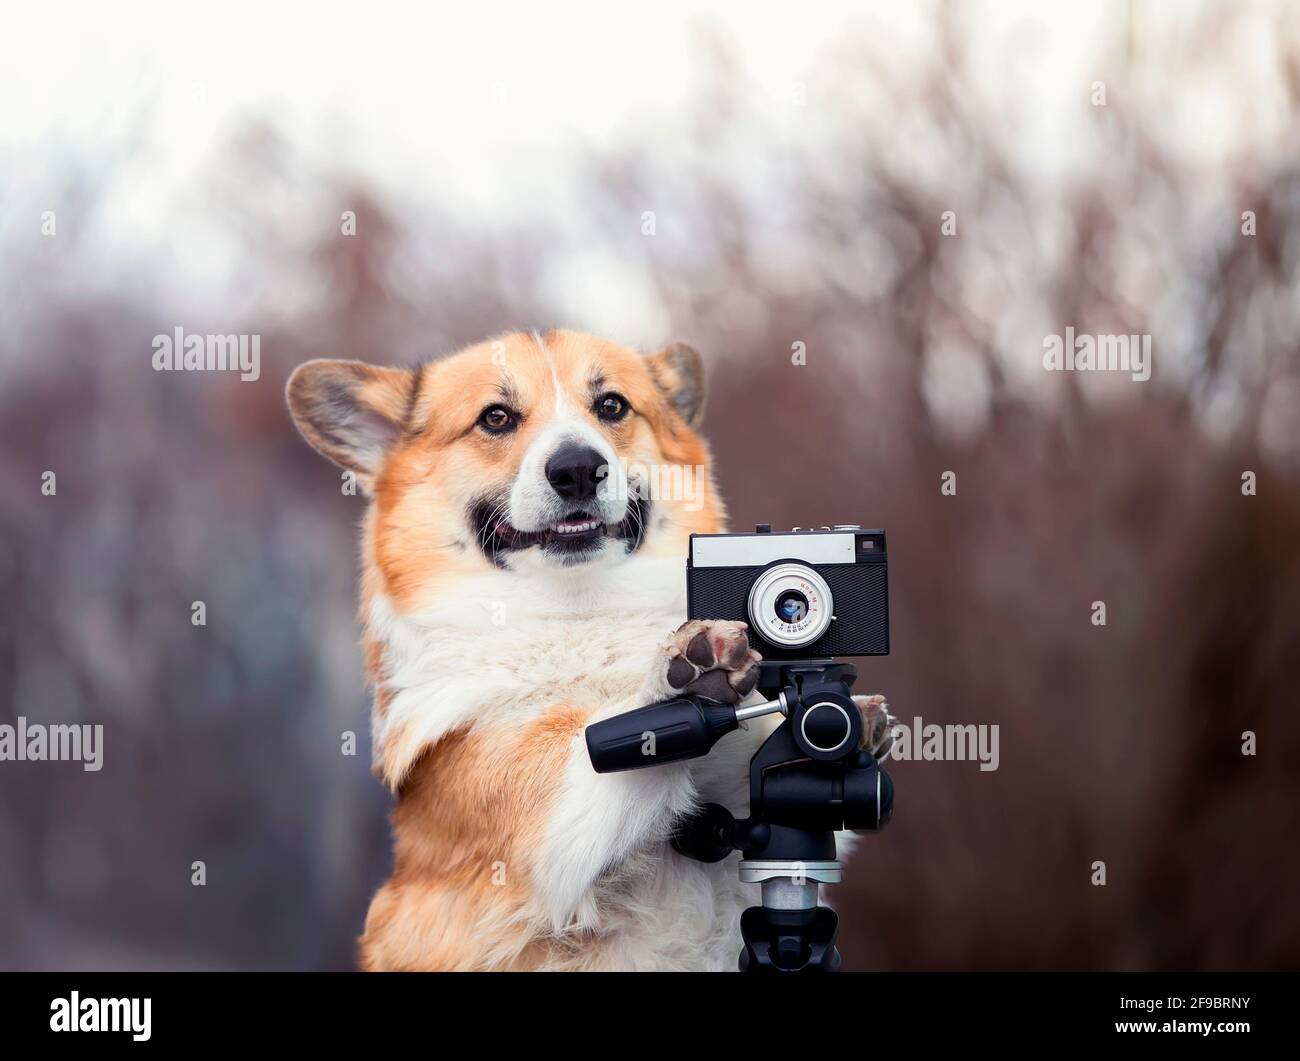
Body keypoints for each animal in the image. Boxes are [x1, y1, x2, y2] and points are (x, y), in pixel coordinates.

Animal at [284, 328, 894, 967]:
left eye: (612, 406)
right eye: (495, 417)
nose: (578, 468)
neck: (579, 611)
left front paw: (847, 722)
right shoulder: (537, 814)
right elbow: (602, 746)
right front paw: (688, 676)